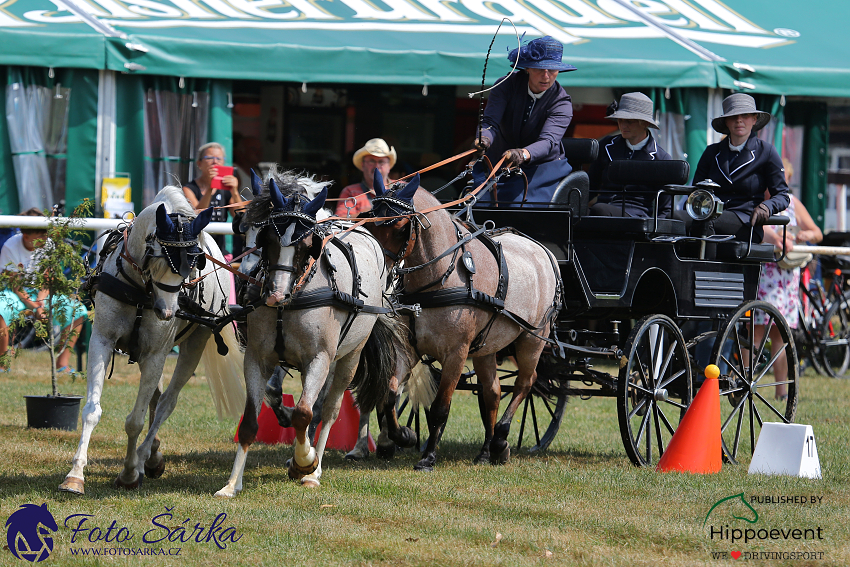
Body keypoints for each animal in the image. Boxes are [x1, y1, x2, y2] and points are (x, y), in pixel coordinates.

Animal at [58, 187, 245, 496]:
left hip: (193, 344)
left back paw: (144, 458)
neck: (139, 291)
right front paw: (74, 475)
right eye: (156, 256)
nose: (167, 312)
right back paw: (153, 456)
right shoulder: (102, 341)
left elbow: (136, 420)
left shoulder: (157, 353)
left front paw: (129, 473)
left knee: (166, 402)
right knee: (156, 400)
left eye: (193, 263)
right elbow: (92, 410)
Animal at [215, 171, 418, 494]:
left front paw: (305, 461)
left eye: (305, 244)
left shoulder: (319, 359)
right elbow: (251, 421)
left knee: (330, 409)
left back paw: (314, 468)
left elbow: (305, 413)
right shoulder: (257, 358)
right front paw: (232, 485)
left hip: (348, 358)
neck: (294, 295)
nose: (273, 294)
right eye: (264, 238)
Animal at [366, 171, 560, 472]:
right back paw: (487, 451)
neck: (438, 278)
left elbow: (439, 408)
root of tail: (543, 250)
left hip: (532, 339)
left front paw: (428, 457)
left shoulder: (456, 354)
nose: (381, 274)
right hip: (486, 348)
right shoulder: (408, 348)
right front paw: (404, 436)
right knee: (492, 392)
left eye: (400, 227)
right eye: (370, 223)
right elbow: (389, 393)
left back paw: (501, 439)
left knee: (525, 383)